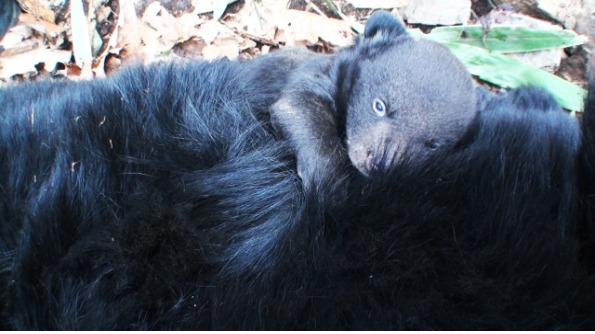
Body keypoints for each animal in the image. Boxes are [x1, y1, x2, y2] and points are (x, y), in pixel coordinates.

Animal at [1, 11, 595, 332]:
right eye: (380, 105)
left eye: (430, 144)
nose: (377, 161)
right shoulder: (307, 78)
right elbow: (300, 111)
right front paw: (332, 188)